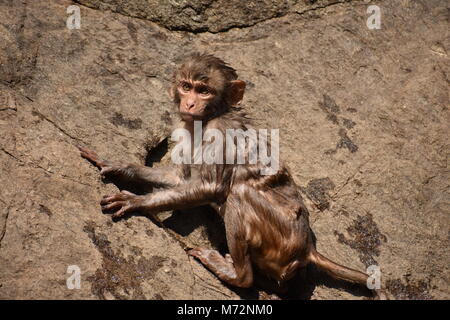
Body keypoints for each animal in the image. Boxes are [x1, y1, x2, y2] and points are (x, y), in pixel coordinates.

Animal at [78, 52, 386, 300]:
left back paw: (237, 275)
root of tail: (307, 247)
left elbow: (210, 187)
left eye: (204, 90)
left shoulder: (220, 132)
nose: (190, 104)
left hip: (281, 237)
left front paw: (135, 202)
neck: (208, 117)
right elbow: (180, 179)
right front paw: (120, 166)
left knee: (239, 195)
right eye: (186, 86)